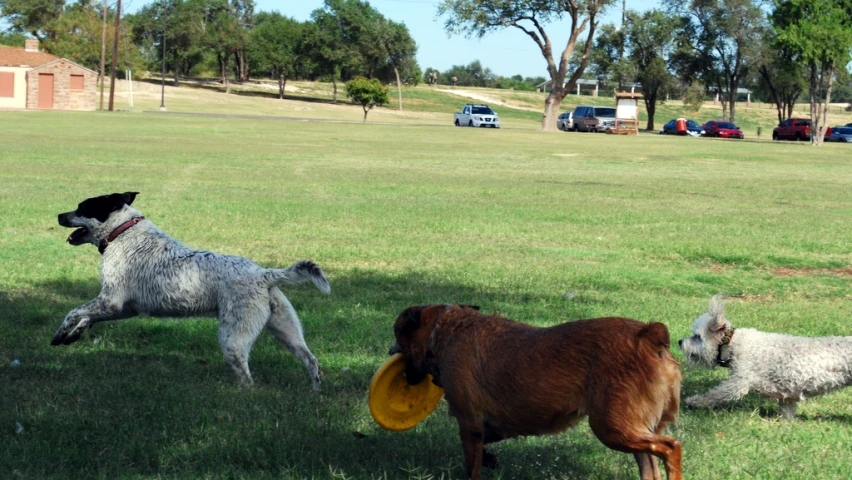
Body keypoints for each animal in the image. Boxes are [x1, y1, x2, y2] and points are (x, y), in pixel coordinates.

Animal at [51, 191, 328, 390]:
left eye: (82, 207)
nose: (58, 215)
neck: (123, 231)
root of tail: (264, 274)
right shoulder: (123, 308)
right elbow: (86, 317)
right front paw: (74, 335)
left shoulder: (111, 301)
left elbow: (73, 312)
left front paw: (60, 334)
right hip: (287, 330)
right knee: (311, 360)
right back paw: (315, 392)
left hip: (233, 339)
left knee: (248, 380)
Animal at [390, 306, 684, 478]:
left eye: (397, 333)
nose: (390, 351)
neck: (446, 328)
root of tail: (647, 336)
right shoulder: (491, 427)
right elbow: (486, 445)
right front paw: (490, 459)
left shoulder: (469, 424)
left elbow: (471, 465)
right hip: (630, 428)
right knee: (652, 463)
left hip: (612, 428)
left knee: (671, 448)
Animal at [680, 294, 852, 418]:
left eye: (697, 336)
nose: (679, 341)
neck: (734, 343)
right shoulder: (787, 397)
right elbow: (787, 412)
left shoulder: (739, 383)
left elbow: (714, 394)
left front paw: (694, 401)